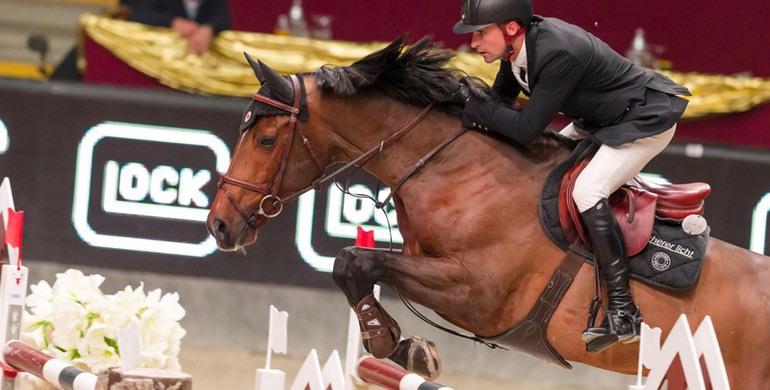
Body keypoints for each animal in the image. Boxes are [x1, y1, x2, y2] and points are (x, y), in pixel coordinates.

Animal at [206, 37, 768, 386]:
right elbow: (356, 266)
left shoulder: (480, 295)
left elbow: (354, 260)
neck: (452, 169)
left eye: (265, 138)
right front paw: (404, 347)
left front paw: (392, 341)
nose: (219, 225)